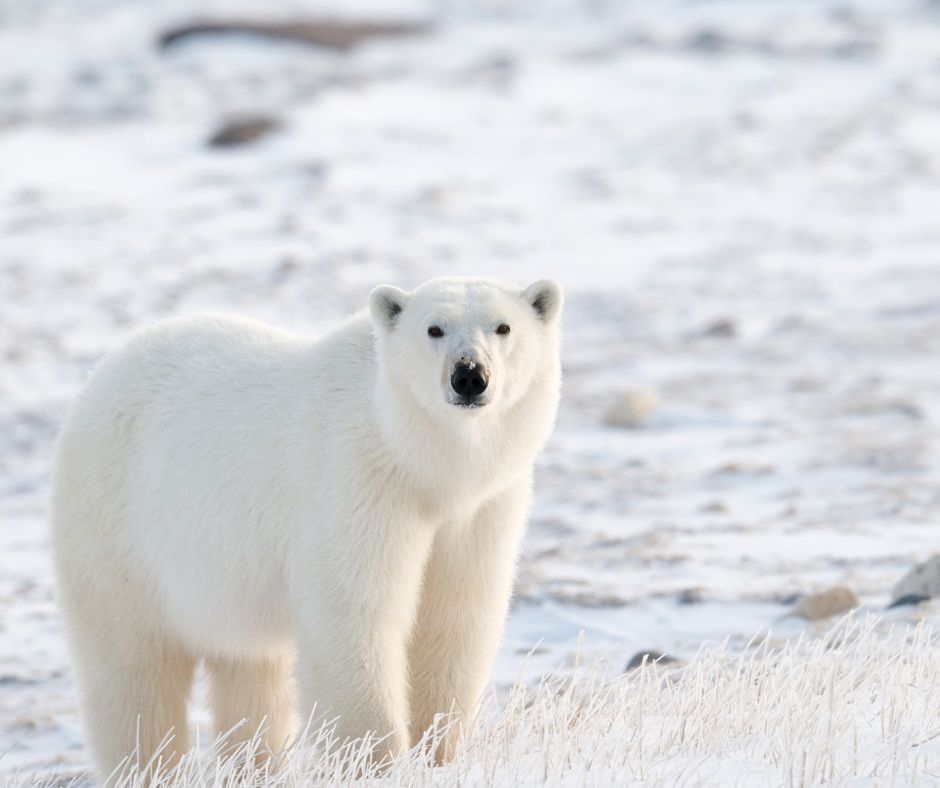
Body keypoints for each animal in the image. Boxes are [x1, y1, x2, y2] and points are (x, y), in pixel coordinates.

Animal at [51, 276, 560, 776]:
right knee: (133, 671)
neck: (421, 462)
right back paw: (148, 767)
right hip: (118, 532)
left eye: (503, 327)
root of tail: (104, 371)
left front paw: (439, 753)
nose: (469, 375)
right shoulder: (357, 482)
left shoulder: (480, 509)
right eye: (434, 328)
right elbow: (355, 614)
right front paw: (374, 762)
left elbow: (455, 616)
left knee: (250, 673)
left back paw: (255, 766)